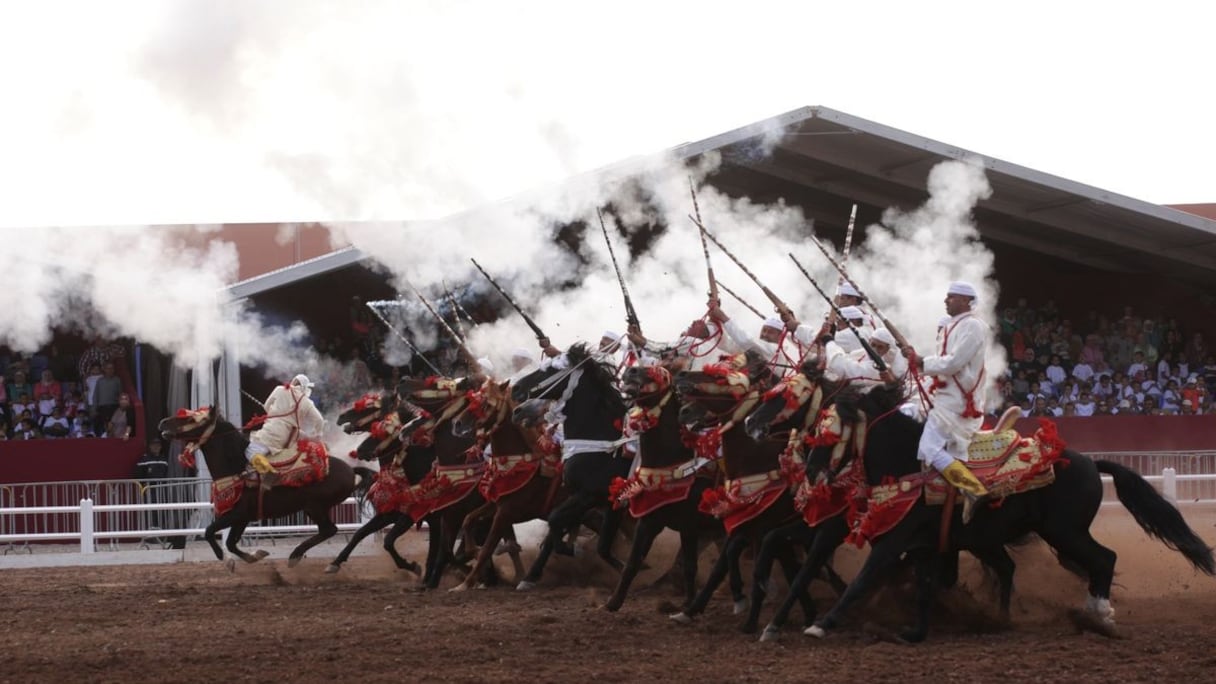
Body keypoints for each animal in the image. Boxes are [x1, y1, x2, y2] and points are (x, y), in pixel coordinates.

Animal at [159, 404, 355, 564]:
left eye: (192, 418)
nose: (163, 422)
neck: (236, 467)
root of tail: (351, 471)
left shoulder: (236, 514)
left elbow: (209, 532)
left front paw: (225, 559)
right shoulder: (243, 518)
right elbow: (230, 543)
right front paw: (254, 555)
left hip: (315, 507)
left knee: (329, 529)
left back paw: (296, 555)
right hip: (314, 509)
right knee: (326, 530)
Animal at [510, 343, 632, 589]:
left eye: (549, 369)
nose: (515, 387)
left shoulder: (591, 495)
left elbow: (557, 522)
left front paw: (572, 549)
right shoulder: (598, 500)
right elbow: (562, 529)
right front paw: (530, 576)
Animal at [802, 384, 1211, 642]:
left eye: (828, 434)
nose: (810, 471)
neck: (909, 466)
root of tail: (1089, 463)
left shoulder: (894, 543)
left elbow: (861, 582)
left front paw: (822, 624)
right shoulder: (925, 548)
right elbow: (923, 589)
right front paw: (915, 631)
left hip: (1066, 533)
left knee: (1104, 559)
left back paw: (1098, 614)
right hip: (1028, 537)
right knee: (1045, 566)